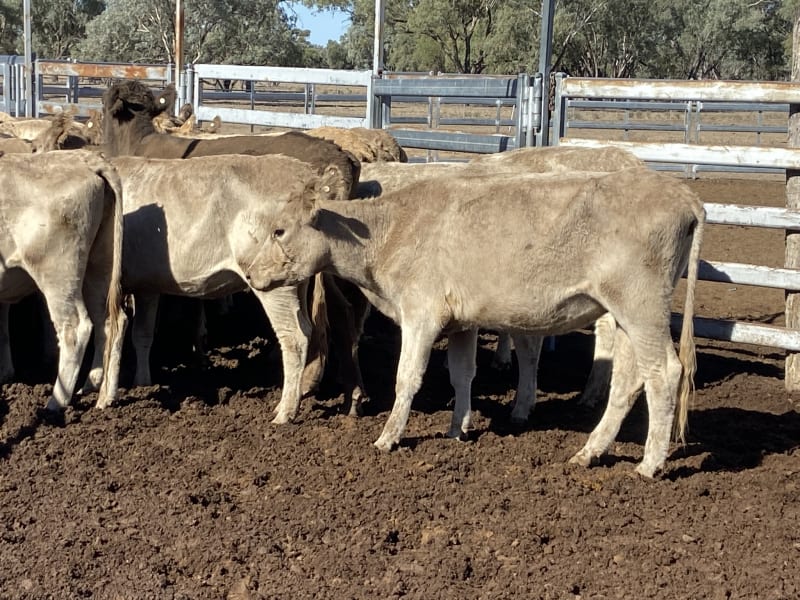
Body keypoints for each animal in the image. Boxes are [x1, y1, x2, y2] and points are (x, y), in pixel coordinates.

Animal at [0, 150, 126, 410]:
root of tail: (85, 157)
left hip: (58, 273)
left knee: (75, 328)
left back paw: (55, 404)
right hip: (99, 267)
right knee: (111, 322)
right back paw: (103, 395)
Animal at [243, 166, 705, 478]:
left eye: (279, 230)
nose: (249, 273)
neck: (392, 230)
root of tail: (682, 193)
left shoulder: (421, 315)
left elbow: (407, 378)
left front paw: (388, 437)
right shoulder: (461, 324)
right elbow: (462, 375)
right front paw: (456, 430)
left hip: (642, 309)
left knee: (664, 373)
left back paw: (649, 463)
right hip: (626, 315)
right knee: (628, 379)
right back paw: (590, 451)